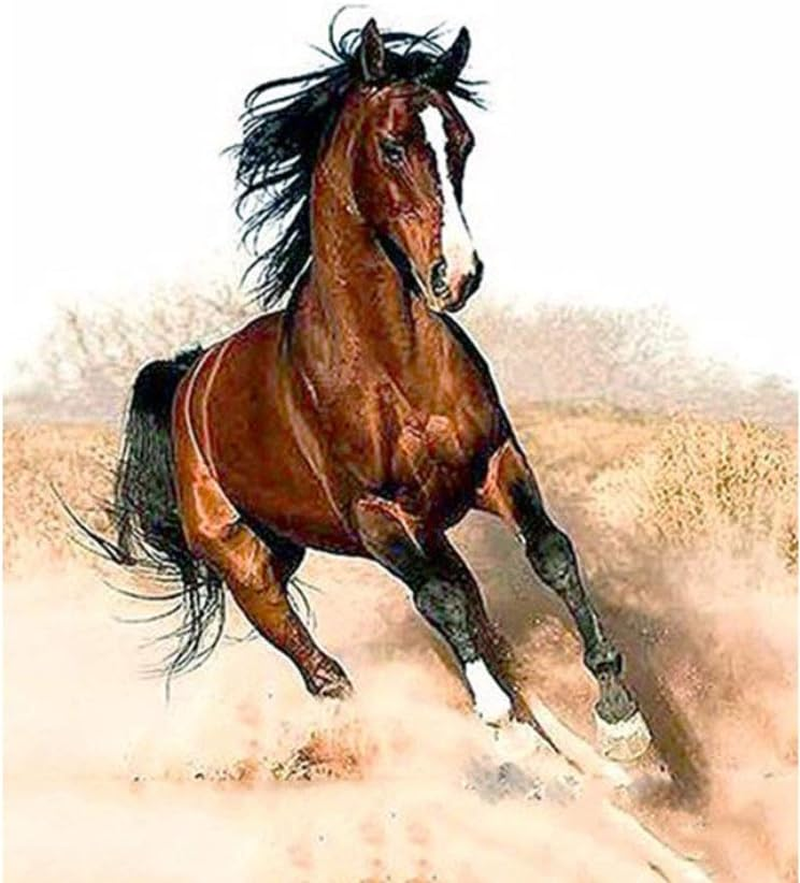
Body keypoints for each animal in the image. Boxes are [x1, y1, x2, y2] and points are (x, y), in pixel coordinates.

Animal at [90, 18, 651, 763]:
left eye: (462, 142)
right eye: (392, 146)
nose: (457, 275)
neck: (392, 364)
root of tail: (189, 378)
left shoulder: (494, 464)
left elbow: (551, 554)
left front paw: (620, 717)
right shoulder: (375, 514)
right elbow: (440, 601)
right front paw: (499, 717)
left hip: (399, 532)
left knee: (469, 608)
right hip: (249, 563)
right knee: (323, 668)